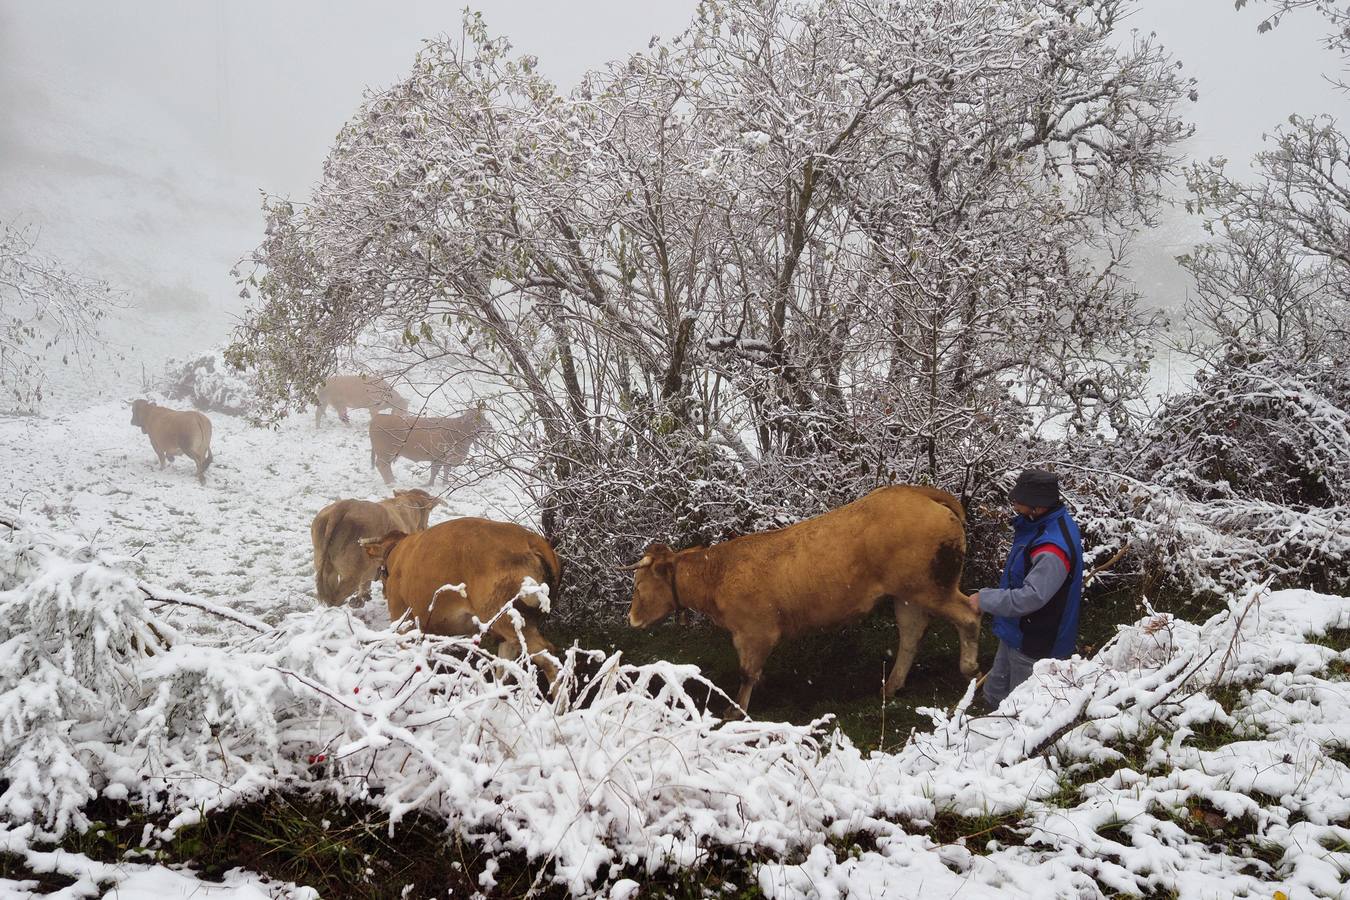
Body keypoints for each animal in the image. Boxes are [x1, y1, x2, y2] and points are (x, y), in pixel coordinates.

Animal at [361, 518, 561, 680]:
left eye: (382, 570)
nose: (384, 591)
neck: (398, 554)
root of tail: (527, 538)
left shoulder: (402, 623)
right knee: (506, 663)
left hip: (508, 618)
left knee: (549, 658)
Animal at [626, 488, 977, 712]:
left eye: (638, 587)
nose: (631, 619)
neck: (718, 572)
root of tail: (919, 492)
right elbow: (752, 672)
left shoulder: (755, 632)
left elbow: (746, 674)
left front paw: (736, 711)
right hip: (907, 596)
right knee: (911, 636)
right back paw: (891, 686)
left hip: (931, 588)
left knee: (969, 615)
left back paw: (970, 670)